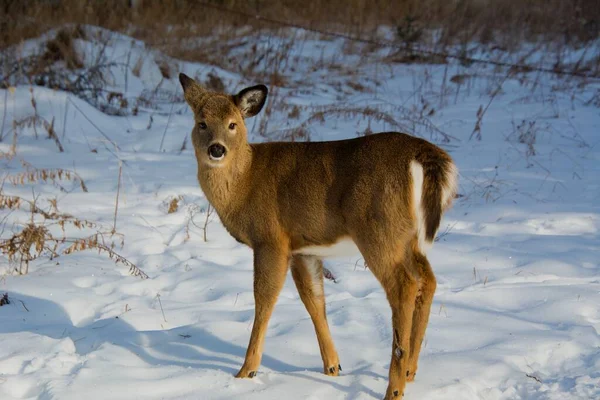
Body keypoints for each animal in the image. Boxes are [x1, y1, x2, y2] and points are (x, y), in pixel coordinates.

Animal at [178, 72, 460, 400]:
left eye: (233, 124)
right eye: (201, 123)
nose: (217, 149)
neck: (244, 182)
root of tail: (423, 155)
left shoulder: (270, 238)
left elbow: (265, 298)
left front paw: (246, 370)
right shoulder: (303, 249)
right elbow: (314, 300)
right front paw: (333, 367)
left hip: (378, 228)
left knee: (404, 285)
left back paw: (394, 388)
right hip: (408, 237)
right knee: (428, 280)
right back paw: (410, 372)